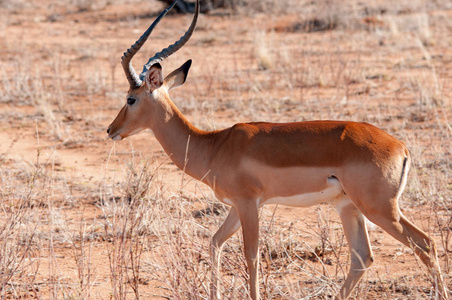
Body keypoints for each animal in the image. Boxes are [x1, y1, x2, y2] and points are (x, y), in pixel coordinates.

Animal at [106, 1, 448, 298]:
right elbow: (215, 243)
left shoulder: (248, 204)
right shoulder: (236, 206)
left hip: (380, 209)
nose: (111, 130)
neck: (214, 146)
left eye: (131, 98)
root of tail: (400, 147)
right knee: (363, 257)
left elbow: (251, 255)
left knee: (426, 244)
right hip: (349, 207)